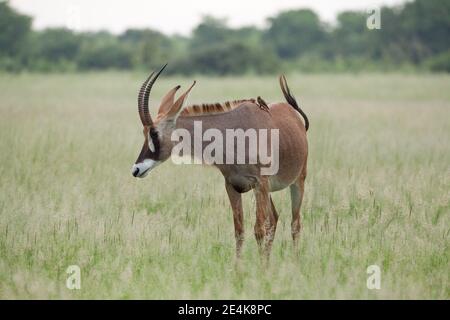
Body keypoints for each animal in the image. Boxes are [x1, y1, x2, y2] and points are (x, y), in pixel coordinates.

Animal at [131, 63, 310, 258]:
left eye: (154, 133)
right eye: (144, 132)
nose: (136, 169)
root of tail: (295, 116)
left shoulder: (260, 183)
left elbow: (259, 230)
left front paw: (260, 267)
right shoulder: (232, 186)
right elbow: (239, 231)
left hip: (297, 181)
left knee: (295, 224)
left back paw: (294, 261)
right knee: (274, 219)